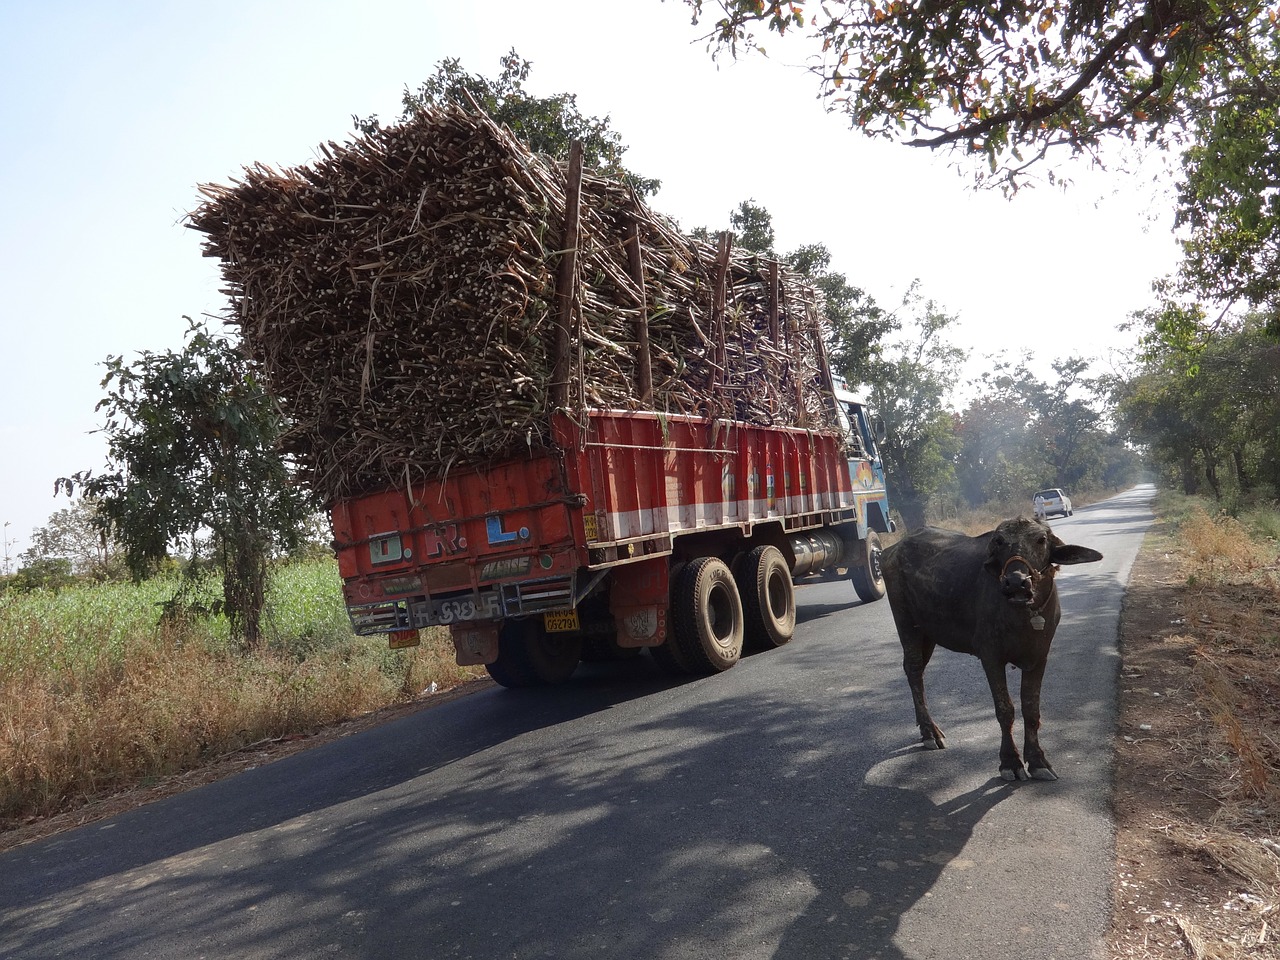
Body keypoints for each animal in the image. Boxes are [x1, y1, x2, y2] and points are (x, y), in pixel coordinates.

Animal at [885, 519, 1105, 783]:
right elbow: (1005, 709)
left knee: (915, 670)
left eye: (1041, 540)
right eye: (999, 542)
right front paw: (1010, 763)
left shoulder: (1039, 657)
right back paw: (930, 732)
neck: (1023, 615)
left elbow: (1031, 709)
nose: (1016, 582)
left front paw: (1038, 761)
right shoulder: (990, 656)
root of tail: (892, 550)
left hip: (929, 633)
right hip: (907, 625)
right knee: (914, 669)